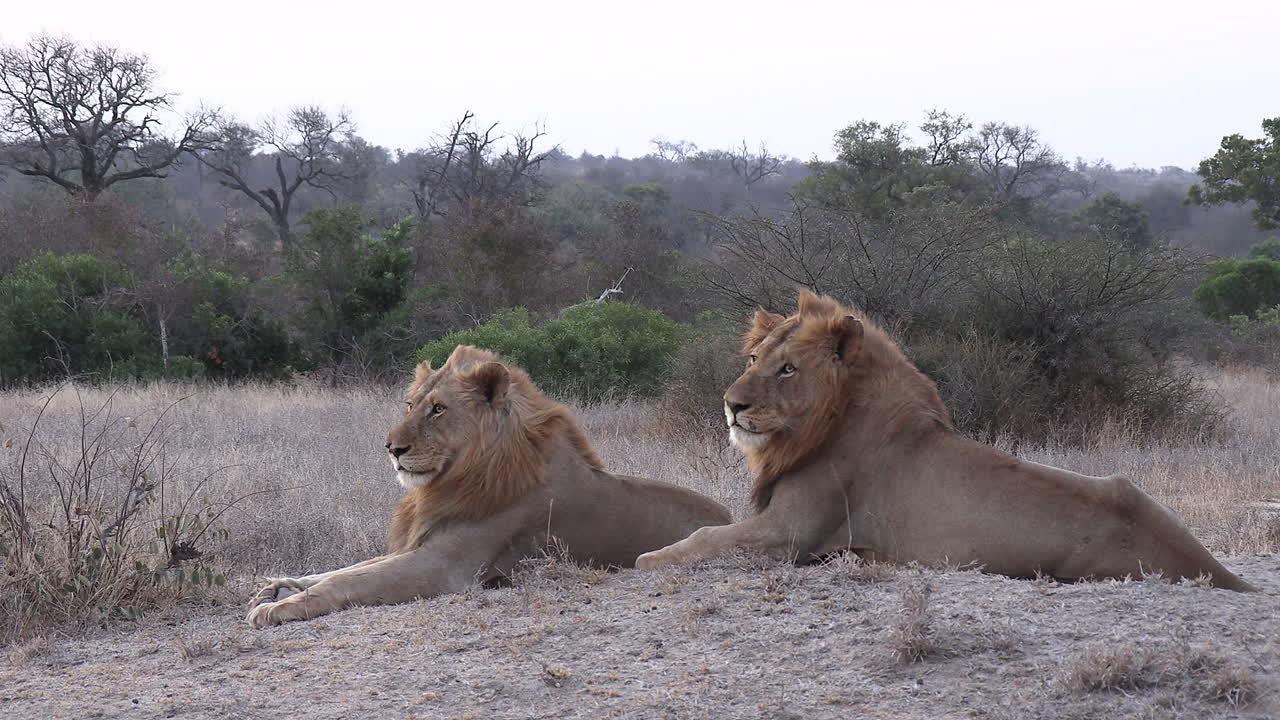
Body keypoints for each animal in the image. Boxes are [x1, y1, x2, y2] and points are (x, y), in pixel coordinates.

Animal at [247, 345, 732, 625]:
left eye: (438, 409)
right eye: (409, 404)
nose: (391, 448)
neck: (456, 477)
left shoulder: (445, 565)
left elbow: (349, 582)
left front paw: (277, 607)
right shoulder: (421, 543)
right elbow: (345, 569)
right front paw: (279, 585)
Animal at [634, 288, 1254, 591]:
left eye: (787, 369)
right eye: (755, 359)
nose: (731, 404)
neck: (824, 421)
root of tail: (1218, 572)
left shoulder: (789, 533)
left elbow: (702, 539)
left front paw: (648, 555)